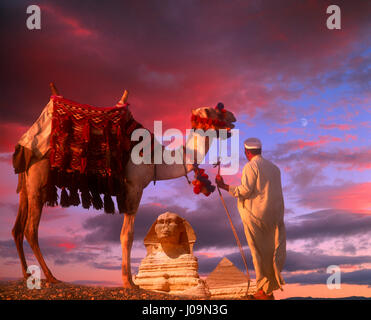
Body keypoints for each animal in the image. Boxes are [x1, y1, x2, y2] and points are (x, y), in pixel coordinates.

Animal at [13, 84, 238, 288]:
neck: (157, 159)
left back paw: (26, 274)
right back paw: (51, 277)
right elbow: (127, 235)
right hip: (38, 177)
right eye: (215, 109)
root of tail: (25, 142)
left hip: (26, 183)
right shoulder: (134, 187)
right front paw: (129, 283)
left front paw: (129, 280)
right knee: (31, 229)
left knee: (17, 228)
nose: (233, 117)